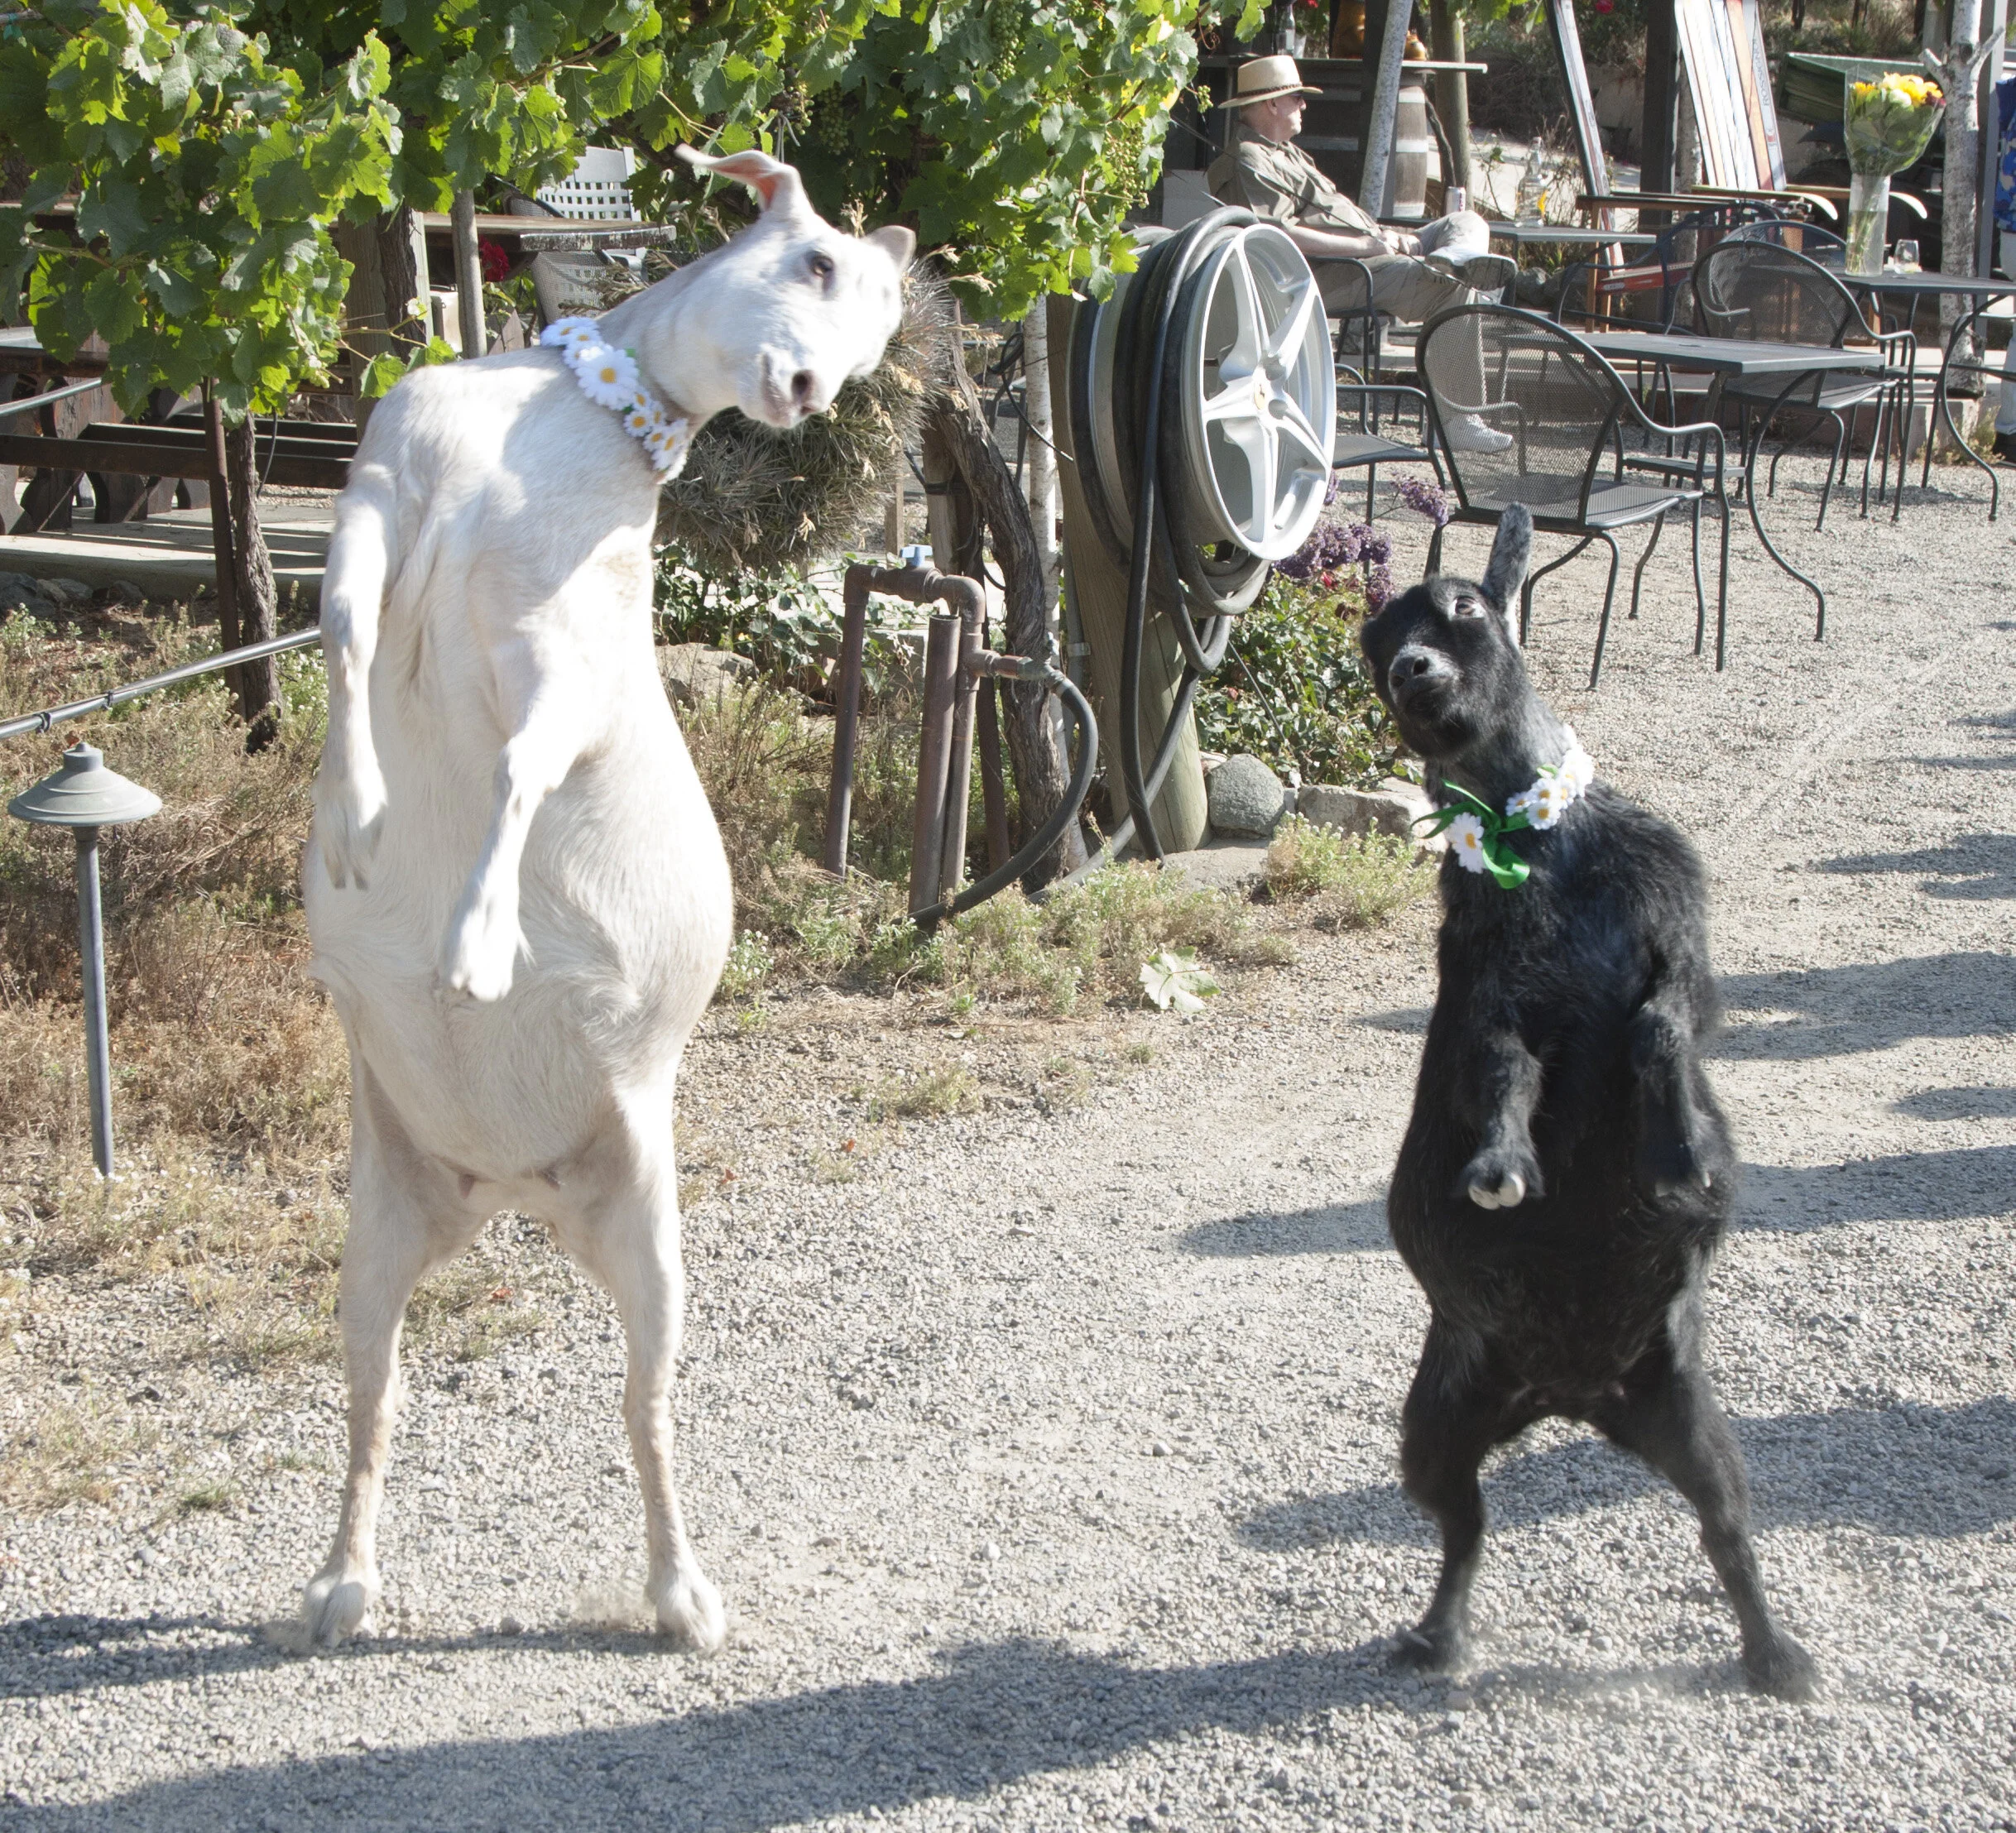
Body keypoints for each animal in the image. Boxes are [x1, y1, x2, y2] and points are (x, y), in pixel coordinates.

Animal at [300, 149, 913, 1648]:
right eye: (813, 261)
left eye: (877, 341)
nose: (807, 391)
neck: (549, 422)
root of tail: (515, 1189)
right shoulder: (378, 494)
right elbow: (342, 629)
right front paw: (354, 814)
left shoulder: (567, 653)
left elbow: (523, 762)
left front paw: (474, 946)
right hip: (376, 1231)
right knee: (375, 1398)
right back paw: (342, 1583)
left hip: (649, 1235)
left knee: (646, 1409)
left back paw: (683, 1596)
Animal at [1357, 506, 1819, 1701]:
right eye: (1375, 642)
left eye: (1465, 607)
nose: (1413, 670)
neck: (1539, 843)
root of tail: (1568, 1394)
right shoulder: (1494, 997)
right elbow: (1505, 1077)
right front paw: (1500, 1169)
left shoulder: (1678, 952)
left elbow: (1661, 1030)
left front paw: (1679, 1155)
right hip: (1437, 1422)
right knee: (1464, 1528)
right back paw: (1438, 1635)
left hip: (1689, 1416)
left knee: (1727, 1530)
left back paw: (1775, 1651)